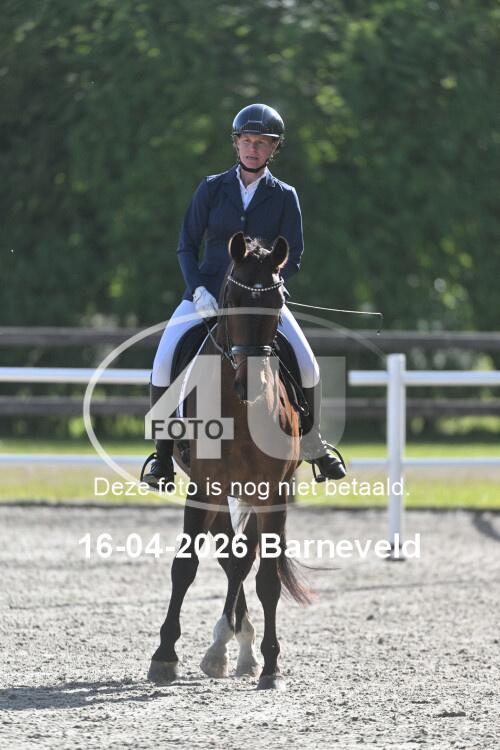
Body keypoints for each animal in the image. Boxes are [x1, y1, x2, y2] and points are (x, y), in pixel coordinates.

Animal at [147, 231, 310, 690]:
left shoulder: (272, 493)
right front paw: (164, 656)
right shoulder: (203, 487)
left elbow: (267, 578)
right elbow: (185, 567)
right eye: (233, 300)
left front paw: (270, 665)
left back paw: (236, 648)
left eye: (277, 301)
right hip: (220, 493)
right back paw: (225, 644)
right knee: (228, 554)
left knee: (242, 558)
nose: (251, 382)